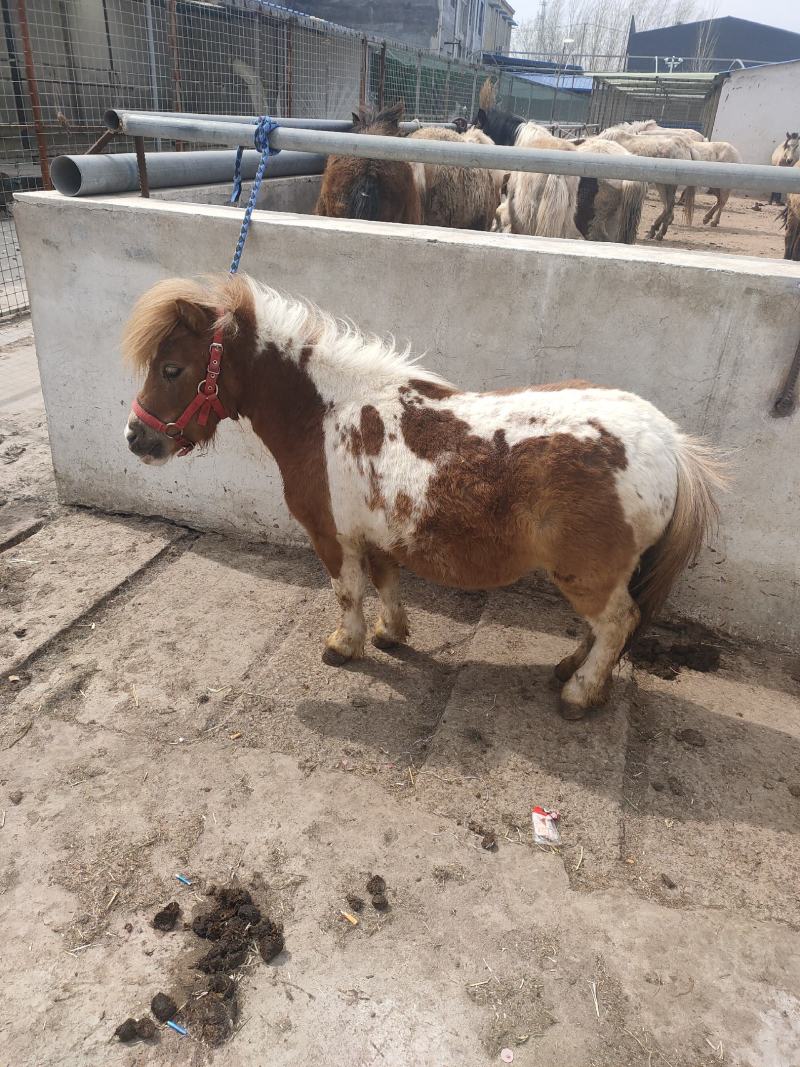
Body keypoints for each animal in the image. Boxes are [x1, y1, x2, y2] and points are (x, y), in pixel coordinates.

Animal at [122, 274, 725, 720]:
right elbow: (387, 583)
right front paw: (390, 634)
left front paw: (344, 645)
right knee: (605, 627)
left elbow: (348, 593)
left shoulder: (332, 537)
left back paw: (580, 693)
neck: (326, 412)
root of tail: (670, 444)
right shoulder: (379, 533)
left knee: (616, 623)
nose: (136, 438)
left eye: (173, 369)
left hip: (588, 574)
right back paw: (570, 671)